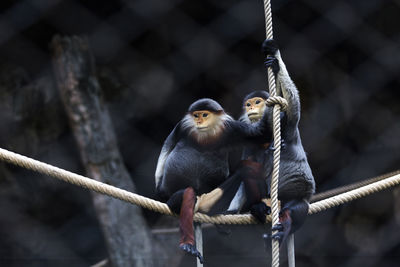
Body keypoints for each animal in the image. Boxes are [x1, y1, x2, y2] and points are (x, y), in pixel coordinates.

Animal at [153, 98, 272, 264]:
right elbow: (167, 146)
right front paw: (159, 188)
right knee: (187, 194)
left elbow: (262, 136)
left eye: (204, 115)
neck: (206, 135)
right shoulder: (182, 126)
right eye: (196, 115)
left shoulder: (232, 129)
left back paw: (254, 210)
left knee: (248, 168)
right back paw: (188, 245)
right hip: (180, 199)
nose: (199, 121)